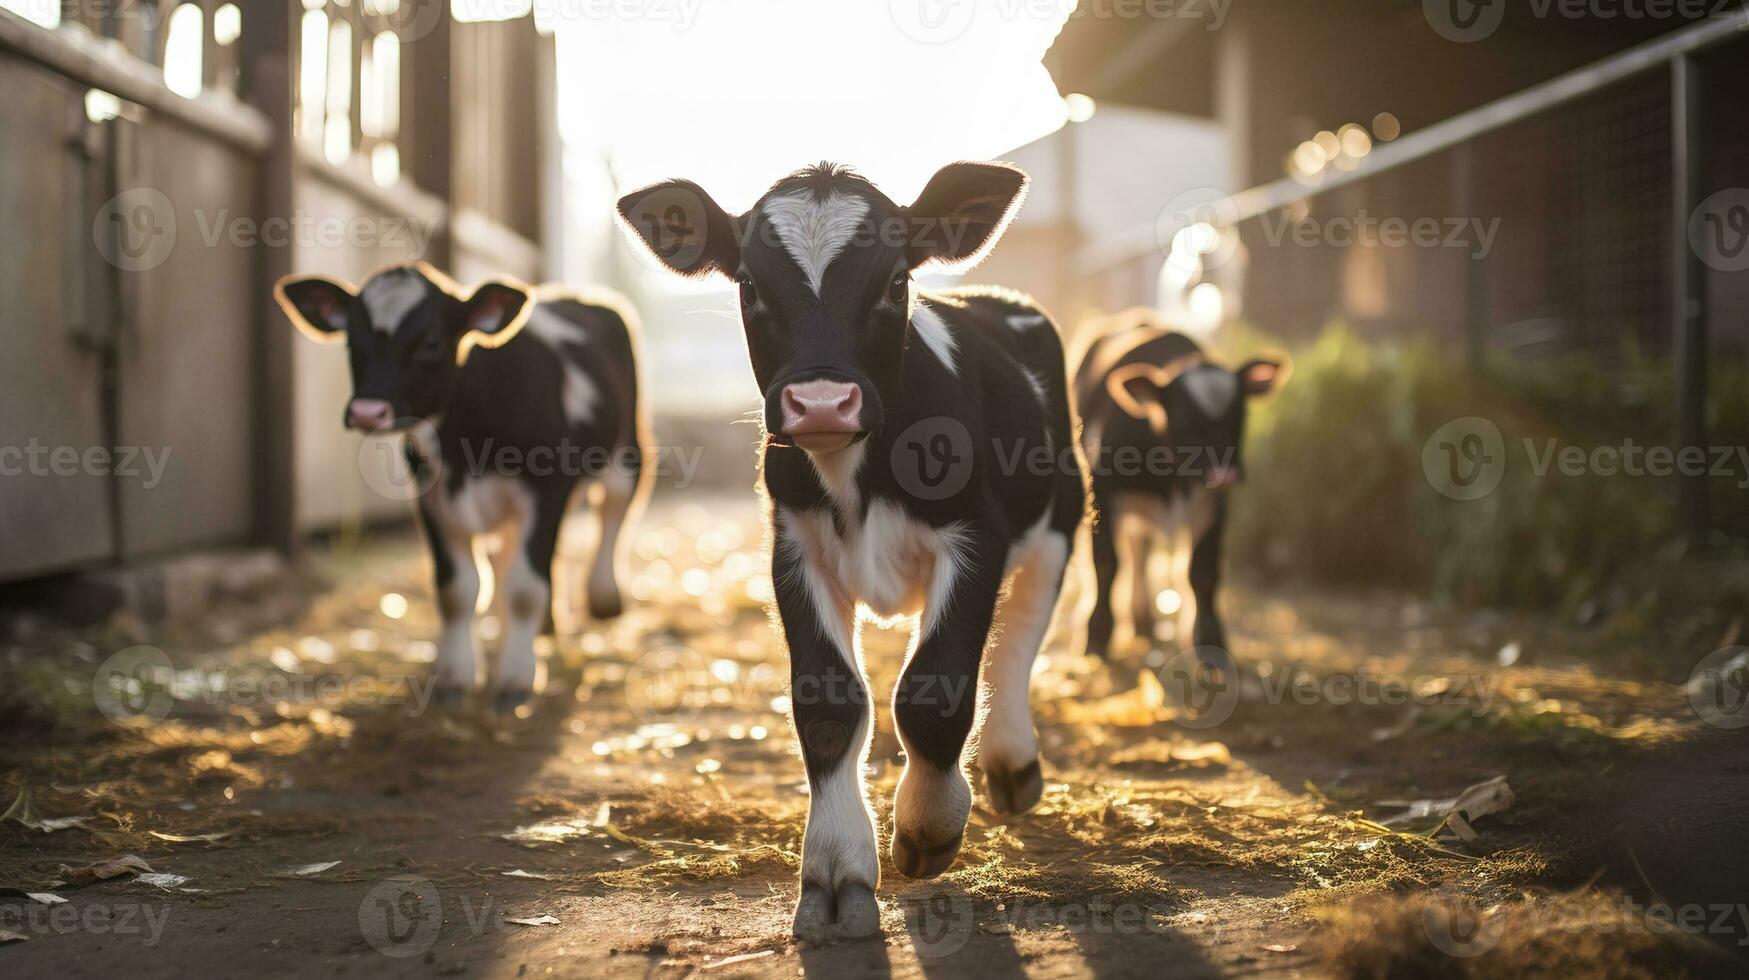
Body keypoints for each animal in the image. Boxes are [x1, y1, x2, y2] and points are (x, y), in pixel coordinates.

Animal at [279, 266, 650, 710]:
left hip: (626, 451)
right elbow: (457, 589)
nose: (368, 412)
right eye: (351, 339)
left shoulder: (547, 491)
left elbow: (525, 587)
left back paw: (603, 595)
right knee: (505, 556)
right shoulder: (431, 498)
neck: (464, 446)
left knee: (613, 510)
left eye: (432, 341)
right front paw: (455, 674)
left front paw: (516, 677)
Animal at [615, 162, 1077, 945]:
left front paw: (926, 823)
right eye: (748, 282)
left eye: (895, 280)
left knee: (1018, 639)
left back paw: (1012, 761)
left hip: (1059, 520)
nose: (823, 402)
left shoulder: (975, 535)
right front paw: (836, 871)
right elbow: (827, 698)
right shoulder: (792, 548)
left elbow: (935, 686)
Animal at [1063, 313, 1287, 661]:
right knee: (1132, 554)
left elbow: (1203, 572)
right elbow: (1107, 563)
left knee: (1140, 551)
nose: (1225, 474)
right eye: (1184, 419)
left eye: (1240, 414)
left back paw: (1143, 618)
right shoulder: (1103, 491)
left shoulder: (1213, 504)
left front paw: (1210, 643)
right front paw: (1097, 634)